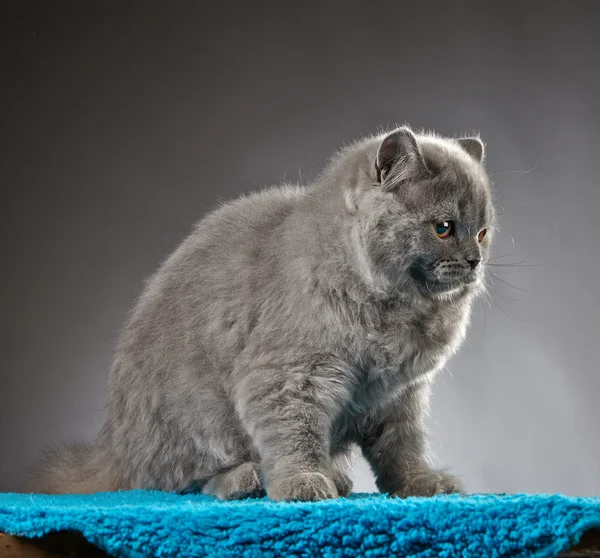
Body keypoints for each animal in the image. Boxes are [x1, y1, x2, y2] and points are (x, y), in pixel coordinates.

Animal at [31, 126, 492, 504]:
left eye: (484, 232)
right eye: (444, 227)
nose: (475, 260)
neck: (398, 310)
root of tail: (115, 449)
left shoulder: (400, 395)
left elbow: (402, 447)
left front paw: (422, 483)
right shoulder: (289, 377)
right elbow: (295, 436)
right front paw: (304, 483)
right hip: (198, 418)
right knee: (180, 481)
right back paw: (251, 480)